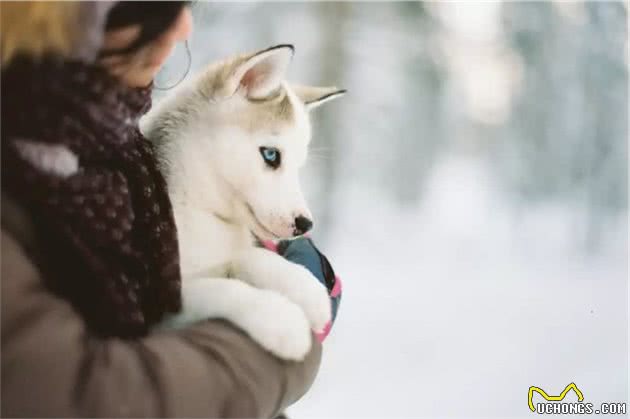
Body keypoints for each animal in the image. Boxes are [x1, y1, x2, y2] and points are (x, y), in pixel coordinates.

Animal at [142, 45, 346, 360]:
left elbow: (249, 257)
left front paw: (304, 287)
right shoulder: (154, 303)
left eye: (299, 165)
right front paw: (281, 319)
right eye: (271, 155)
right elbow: (218, 289)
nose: (305, 223)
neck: (200, 210)